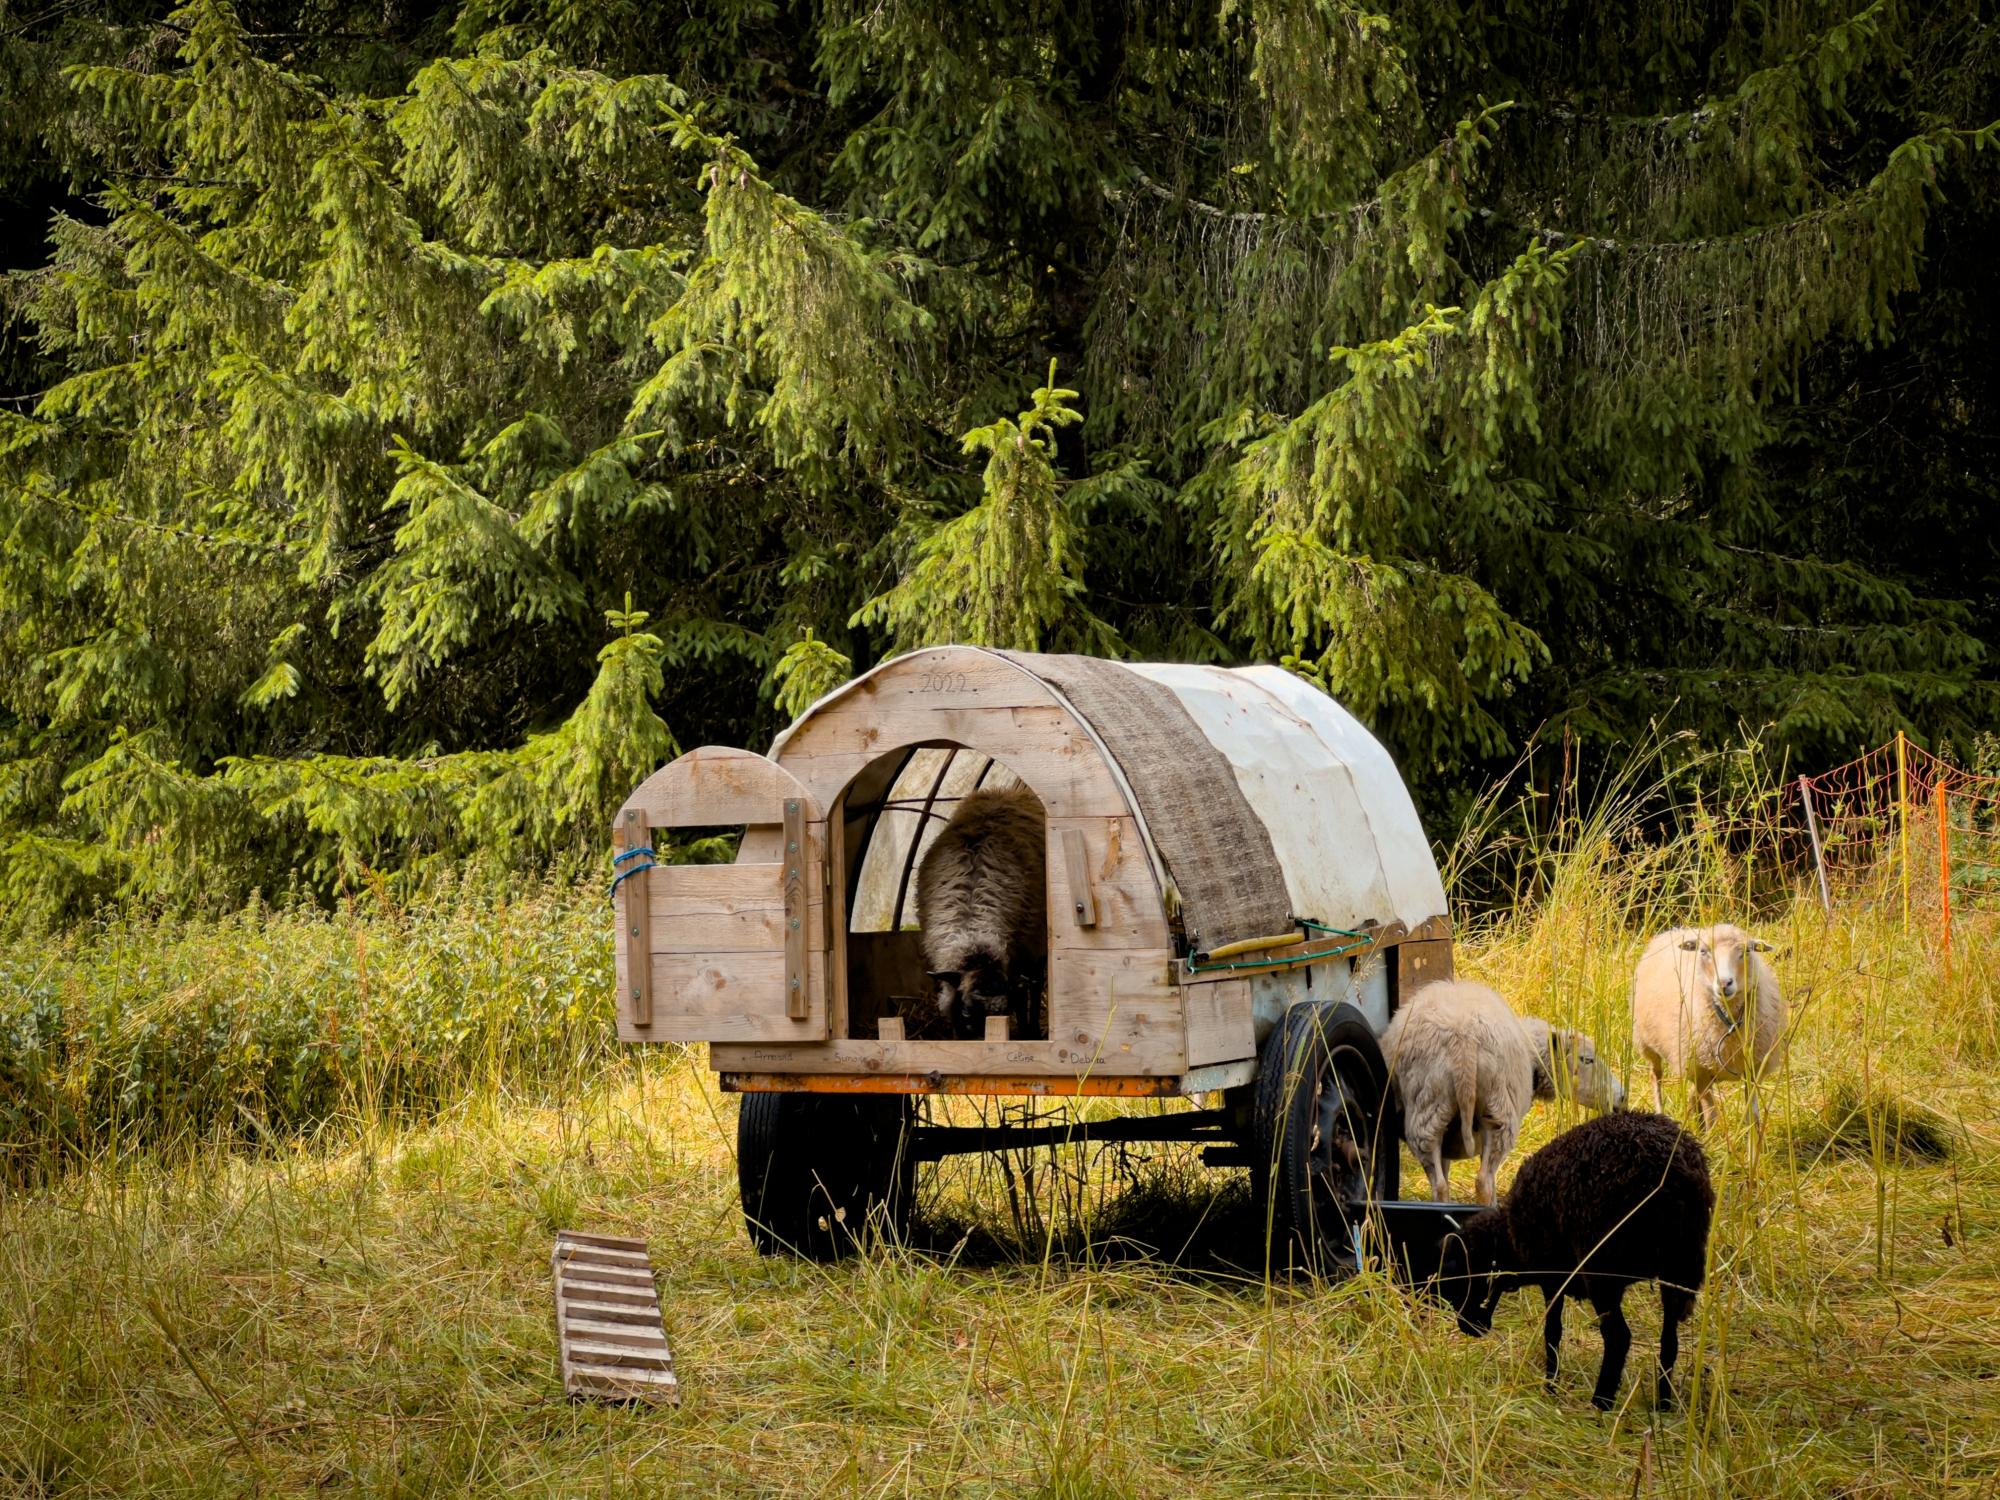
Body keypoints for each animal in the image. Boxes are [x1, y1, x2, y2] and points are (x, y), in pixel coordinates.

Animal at [916, 788, 1056, 1048]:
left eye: (1003, 1016)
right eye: (966, 1012)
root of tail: (1006, 791)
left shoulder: (1020, 957)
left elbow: (1020, 999)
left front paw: (1026, 1032)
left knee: (1035, 986)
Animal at [1384, 980, 1632, 1216]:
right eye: (1587, 1059)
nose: (1621, 1096)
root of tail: (1463, 1041)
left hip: (1429, 1112)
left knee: (1440, 1185)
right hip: (1498, 1113)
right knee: (1484, 1182)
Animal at [1440, 1112, 1720, 1416]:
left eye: (1467, 1271)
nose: (1466, 1326)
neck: (1511, 1237)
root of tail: (1674, 1176)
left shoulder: (1552, 1276)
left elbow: (1552, 1333)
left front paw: (1550, 1387)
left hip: (1603, 1271)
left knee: (1618, 1337)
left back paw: (1600, 1403)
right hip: (1679, 1268)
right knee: (1670, 1341)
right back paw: (1663, 1405)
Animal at [1632, 924, 1792, 1136]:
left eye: (1746, 951)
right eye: (1703, 951)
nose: (1724, 983)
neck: (1729, 1022)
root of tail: (1673, 931)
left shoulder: (1753, 1071)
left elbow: (1753, 1117)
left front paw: (1755, 1143)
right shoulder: (1700, 1070)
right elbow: (1712, 1117)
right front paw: (1714, 1141)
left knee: (1692, 1095)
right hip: (1647, 1045)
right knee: (1656, 1077)